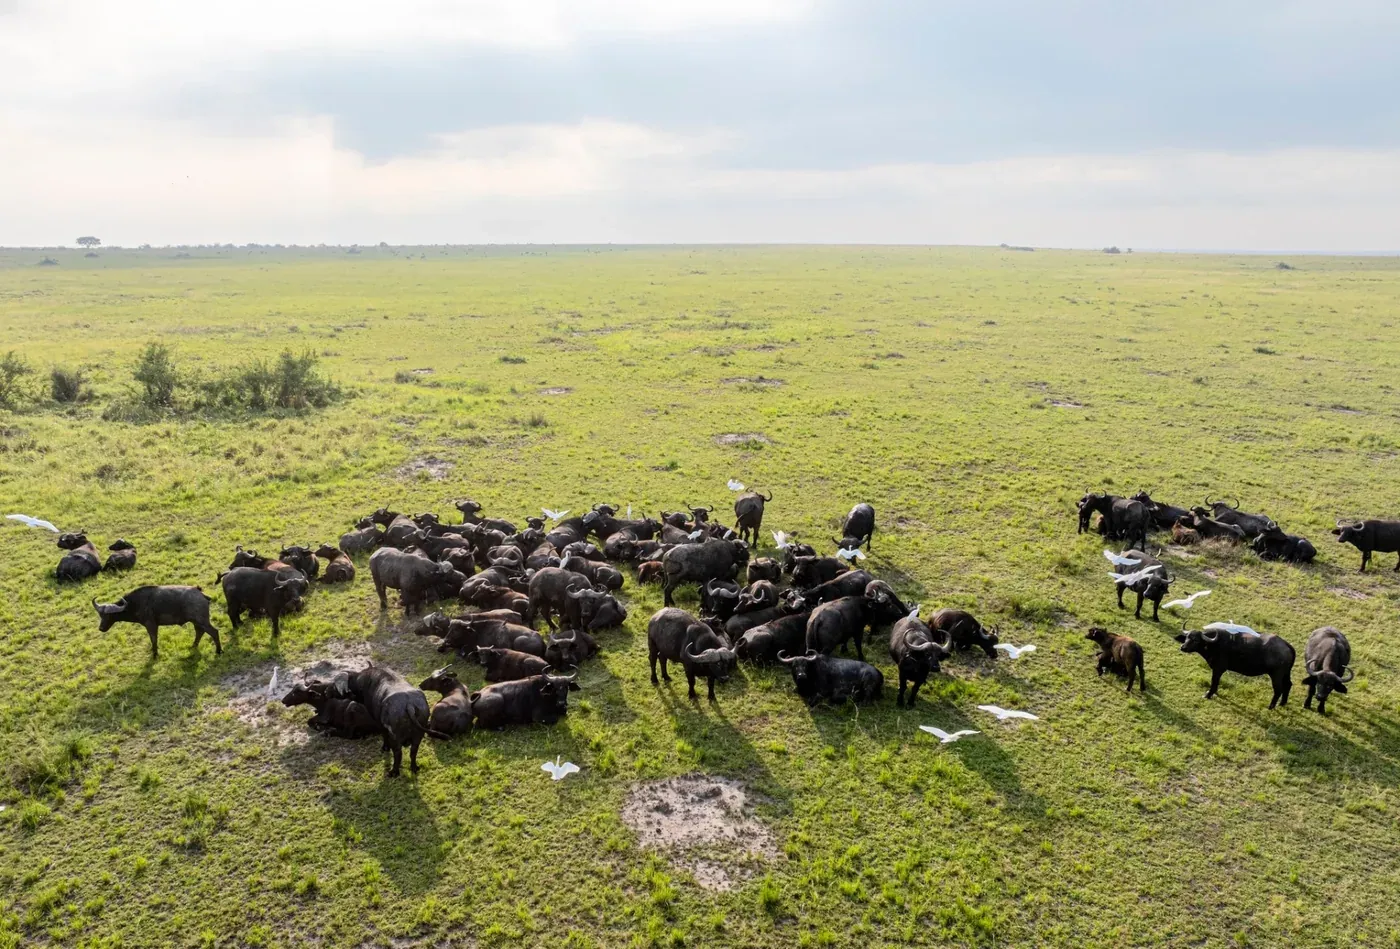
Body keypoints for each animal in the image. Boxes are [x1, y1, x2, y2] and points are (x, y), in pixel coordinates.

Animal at [92, 586, 221, 656]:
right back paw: (193, 646)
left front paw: (155, 654)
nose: (101, 628)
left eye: (109, 616)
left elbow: (153, 639)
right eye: (100, 615)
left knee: (214, 632)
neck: (135, 603)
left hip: (202, 621)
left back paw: (218, 651)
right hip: (196, 621)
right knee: (199, 632)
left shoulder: (151, 625)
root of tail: (201, 593)